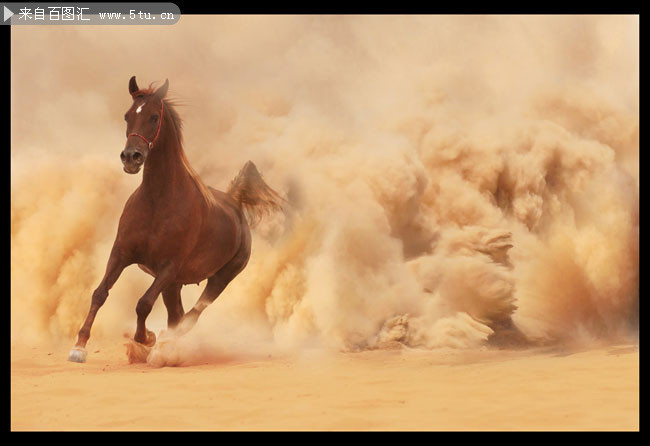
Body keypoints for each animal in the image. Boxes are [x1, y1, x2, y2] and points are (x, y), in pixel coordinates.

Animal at [67, 76, 282, 362]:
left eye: (154, 117)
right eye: (127, 116)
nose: (131, 157)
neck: (157, 202)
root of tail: (234, 201)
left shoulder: (168, 266)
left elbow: (143, 303)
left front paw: (146, 338)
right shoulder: (121, 253)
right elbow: (100, 293)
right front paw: (79, 347)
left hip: (220, 278)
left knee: (190, 316)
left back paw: (166, 346)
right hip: (175, 285)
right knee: (176, 314)